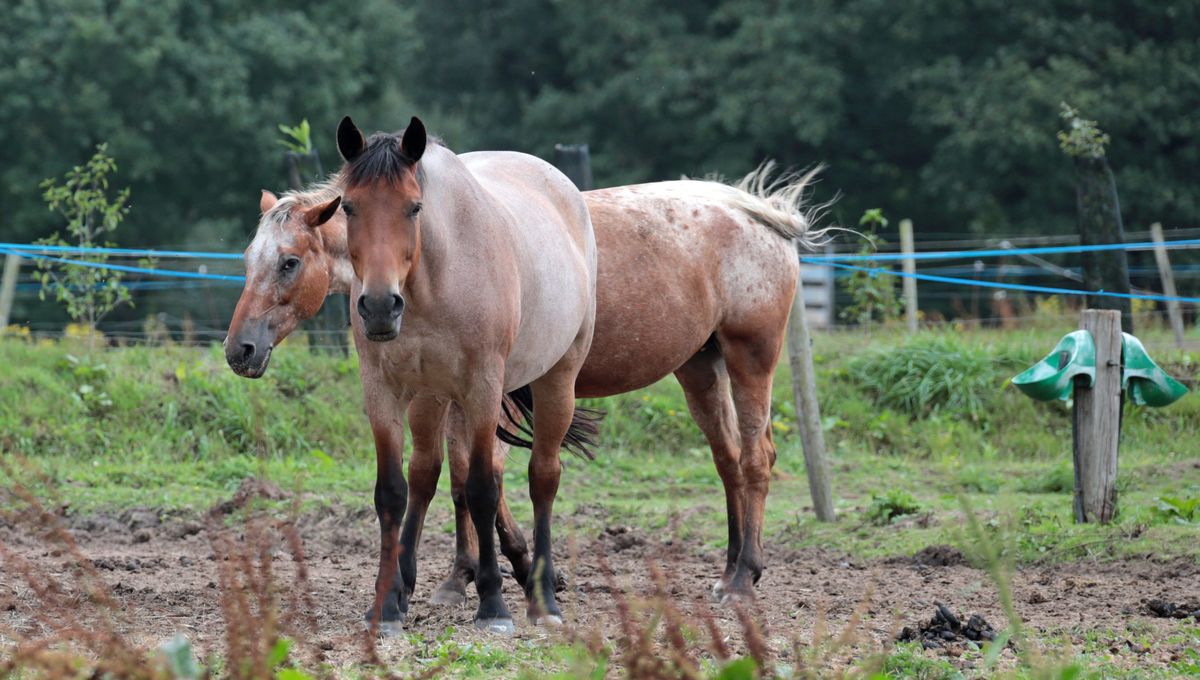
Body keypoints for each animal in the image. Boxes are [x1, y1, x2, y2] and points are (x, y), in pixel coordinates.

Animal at [333, 115, 595, 633]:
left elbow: (481, 489)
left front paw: (493, 604)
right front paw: (386, 606)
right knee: (430, 474)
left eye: (414, 207)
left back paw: (543, 598)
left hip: (556, 379)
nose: (379, 306)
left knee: (542, 477)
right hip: (434, 397)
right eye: (349, 206)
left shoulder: (483, 388)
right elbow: (392, 491)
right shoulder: (383, 390)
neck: (435, 279)